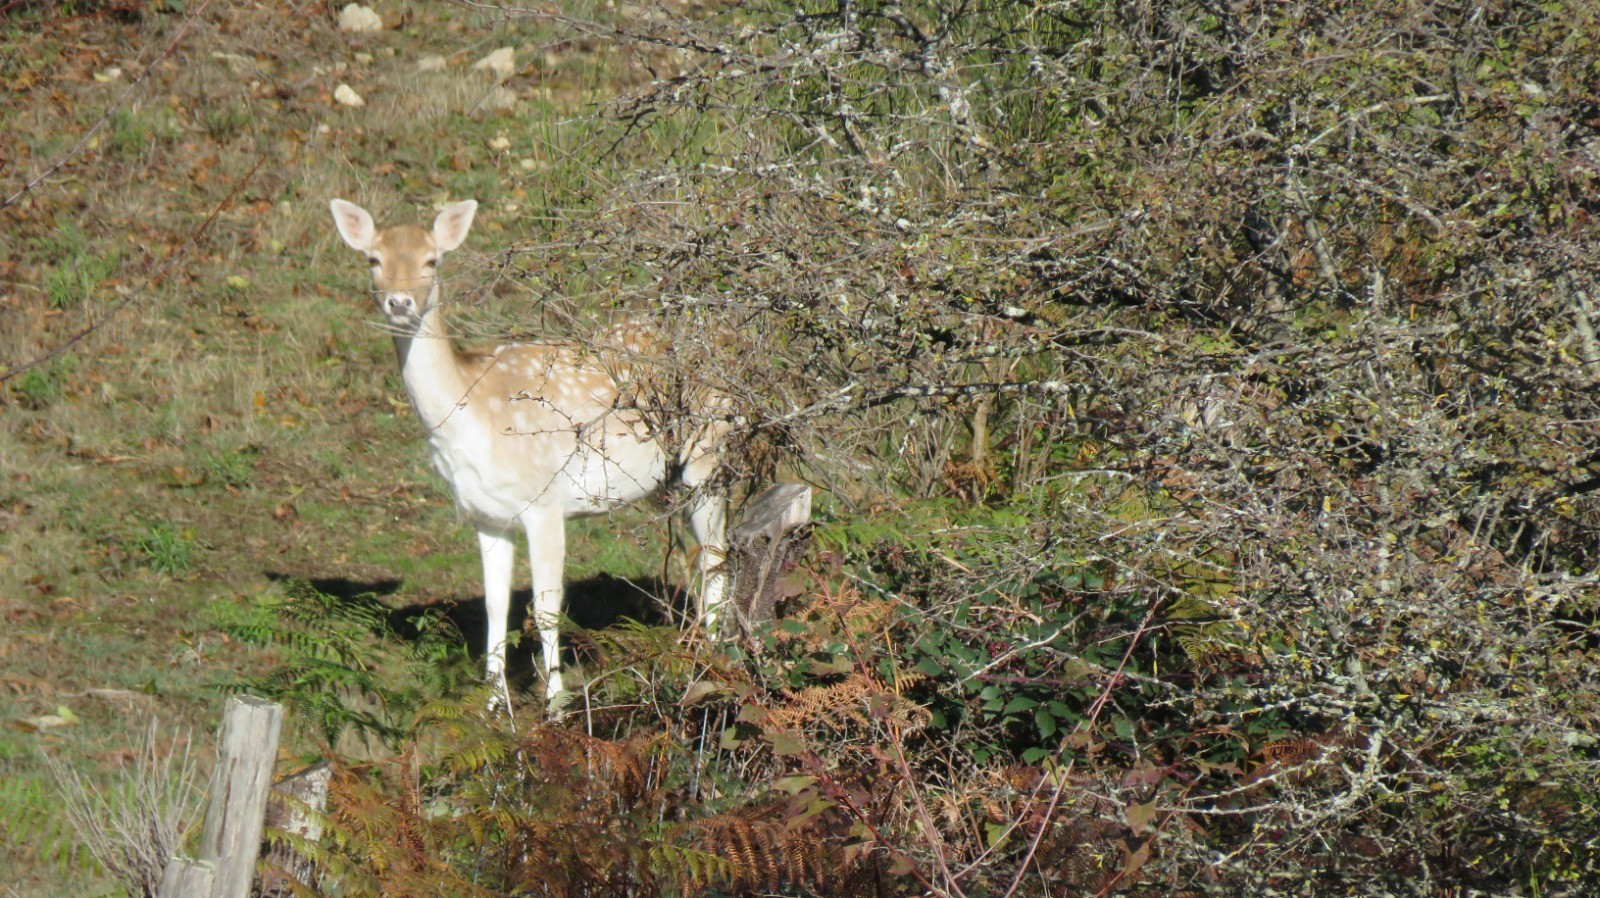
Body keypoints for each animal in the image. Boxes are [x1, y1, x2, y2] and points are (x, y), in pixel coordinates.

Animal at [328, 198, 730, 707]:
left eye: (431, 261)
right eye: (373, 259)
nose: (399, 303)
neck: (472, 421)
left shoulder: (545, 502)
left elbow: (546, 608)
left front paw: (555, 703)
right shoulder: (486, 515)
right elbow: (495, 606)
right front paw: (495, 704)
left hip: (709, 451)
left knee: (717, 554)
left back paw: (716, 659)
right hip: (671, 478)